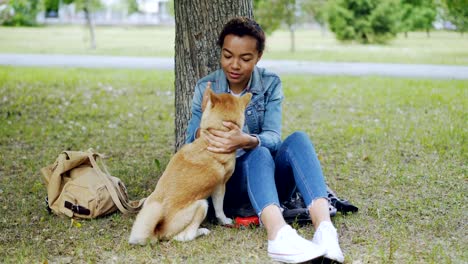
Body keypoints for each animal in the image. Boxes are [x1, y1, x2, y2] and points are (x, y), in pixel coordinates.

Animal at [128, 86, 252, 243]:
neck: (208, 142)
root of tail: (158, 230)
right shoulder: (219, 186)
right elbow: (219, 210)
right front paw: (225, 221)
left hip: (149, 201)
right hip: (202, 204)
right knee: (185, 236)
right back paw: (202, 231)